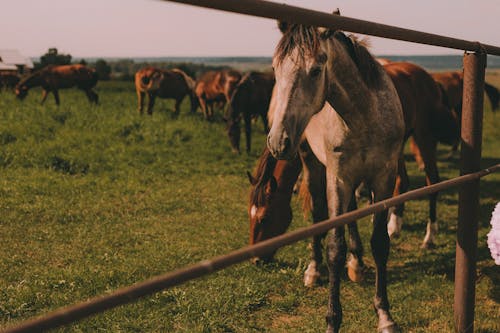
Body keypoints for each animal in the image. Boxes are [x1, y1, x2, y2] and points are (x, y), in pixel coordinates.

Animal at [268, 23, 404, 332]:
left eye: (316, 70)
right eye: (275, 68)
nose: (278, 141)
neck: (365, 117)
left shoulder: (384, 178)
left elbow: (380, 243)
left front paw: (385, 315)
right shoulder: (337, 178)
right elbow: (334, 248)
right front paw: (332, 320)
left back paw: (356, 264)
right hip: (312, 164)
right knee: (319, 213)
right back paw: (314, 269)